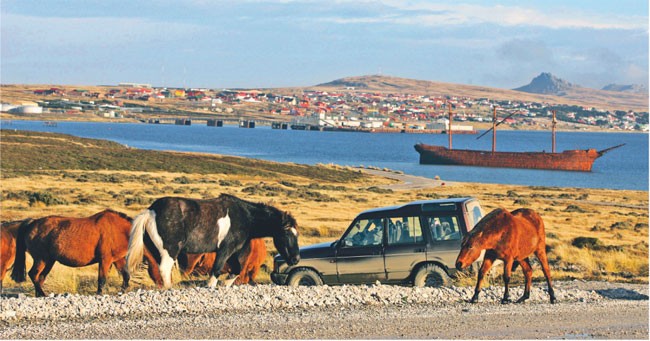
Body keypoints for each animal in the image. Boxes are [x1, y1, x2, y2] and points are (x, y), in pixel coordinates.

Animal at [11, 207, 161, 294]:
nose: (162, 285)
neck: (120, 230)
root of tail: (32, 223)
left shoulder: (117, 260)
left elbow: (126, 275)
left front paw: (122, 291)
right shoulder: (105, 260)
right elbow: (102, 279)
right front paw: (99, 294)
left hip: (49, 261)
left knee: (40, 278)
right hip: (42, 259)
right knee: (33, 275)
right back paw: (42, 294)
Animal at [125, 193, 300, 288]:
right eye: (287, 234)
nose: (296, 259)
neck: (245, 217)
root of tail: (151, 210)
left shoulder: (234, 252)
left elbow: (236, 270)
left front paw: (224, 285)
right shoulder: (225, 250)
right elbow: (216, 270)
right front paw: (211, 286)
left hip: (156, 250)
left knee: (158, 270)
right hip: (170, 250)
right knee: (164, 269)